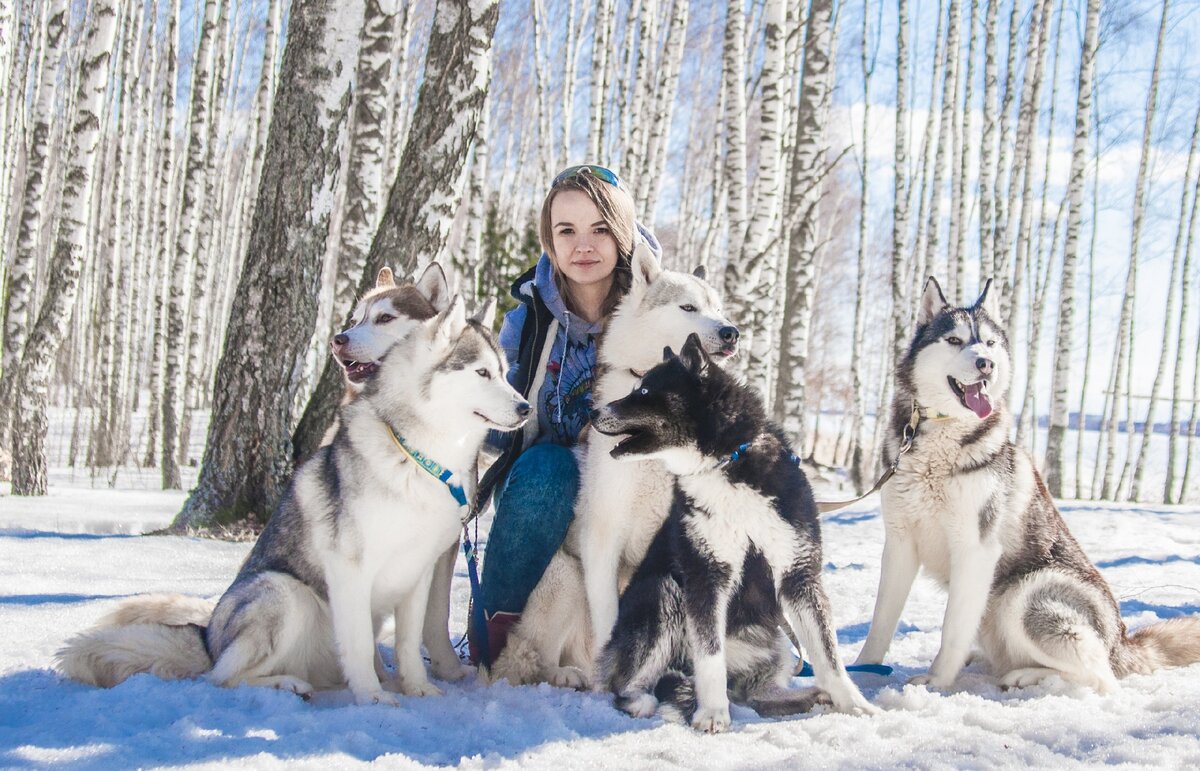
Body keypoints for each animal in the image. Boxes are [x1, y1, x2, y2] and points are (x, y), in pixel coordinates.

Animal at [59, 295, 530, 701]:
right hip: (284, 592)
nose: (525, 408)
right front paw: (373, 698)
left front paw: (417, 689)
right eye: (482, 373)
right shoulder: (349, 570)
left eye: (505, 371)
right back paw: (290, 685)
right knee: (223, 676)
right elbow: (360, 645)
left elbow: (410, 644)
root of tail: (208, 635)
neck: (418, 458)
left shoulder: (418, 573)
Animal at [484, 244, 729, 682]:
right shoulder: (603, 541)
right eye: (688, 307)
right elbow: (610, 623)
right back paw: (570, 676)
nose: (731, 331)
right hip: (567, 580)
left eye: (718, 308)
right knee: (533, 658)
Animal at [590, 333, 873, 730]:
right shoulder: (706, 575)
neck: (727, 462)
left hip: (774, 647)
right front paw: (711, 713)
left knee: (758, 695)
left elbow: (829, 655)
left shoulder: (799, 576)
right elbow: (710, 657)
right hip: (662, 594)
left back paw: (812, 696)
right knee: (630, 684)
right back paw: (644, 700)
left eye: (644, 391)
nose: (592, 412)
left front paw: (855, 704)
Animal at [854, 277, 1200, 691]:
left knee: (1099, 677)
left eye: (988, 343)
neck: (940, 438)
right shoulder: (900, 544)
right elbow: (881, 622)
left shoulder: (975, 549)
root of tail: (1121, 641)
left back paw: (1026, 675)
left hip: (1025, 592)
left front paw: (937, 681)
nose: (985, 364)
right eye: (954, 340)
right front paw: (861, 672)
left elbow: (952, 629)